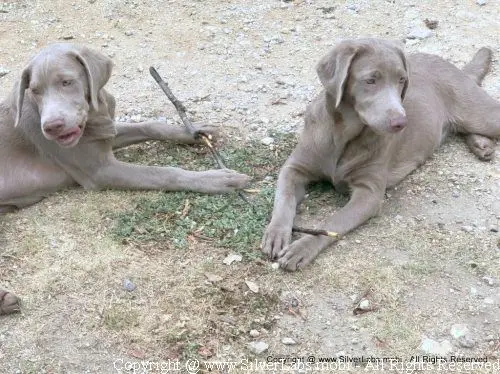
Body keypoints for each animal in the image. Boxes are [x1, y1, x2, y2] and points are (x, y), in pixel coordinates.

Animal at [0, 43, 250, 213]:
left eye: (66, 82)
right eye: (35, 91)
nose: (52, 127)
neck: (94, 116)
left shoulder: (106, 130)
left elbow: (152, 125)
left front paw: (193, 130)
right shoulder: (101, 171)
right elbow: (162, 172)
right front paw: (215, 180)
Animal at [262, 38, 500, 270]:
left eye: (402, 80)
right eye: (370, 80)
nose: (401, 122)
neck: (343, 136)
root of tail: (456, 69)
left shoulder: (369, 193)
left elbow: (333, 221)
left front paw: (302, 248)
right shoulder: (295, 167)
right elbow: (283, 199)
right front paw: (276, 234)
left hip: (481, 114)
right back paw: (481, 144)